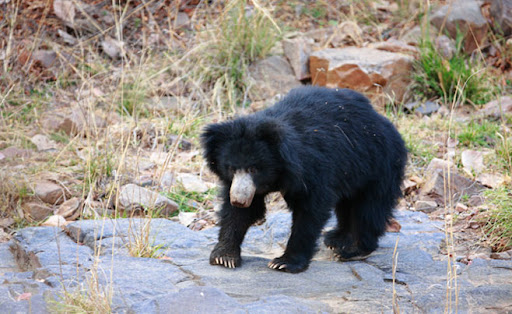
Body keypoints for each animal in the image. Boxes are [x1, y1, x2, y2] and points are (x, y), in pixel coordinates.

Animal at [202, 86, 406, 272]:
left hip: (378, 164)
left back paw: (353, 249)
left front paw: (284, 262)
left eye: (253, 169)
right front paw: (224, 256)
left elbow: (310, 211)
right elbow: (242, 213)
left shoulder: (312, 168)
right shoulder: (243, 185)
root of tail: (386, 123)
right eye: (231, 167)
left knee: (368, 208)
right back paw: (336, 237)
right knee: (347, 204)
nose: (238, 199)